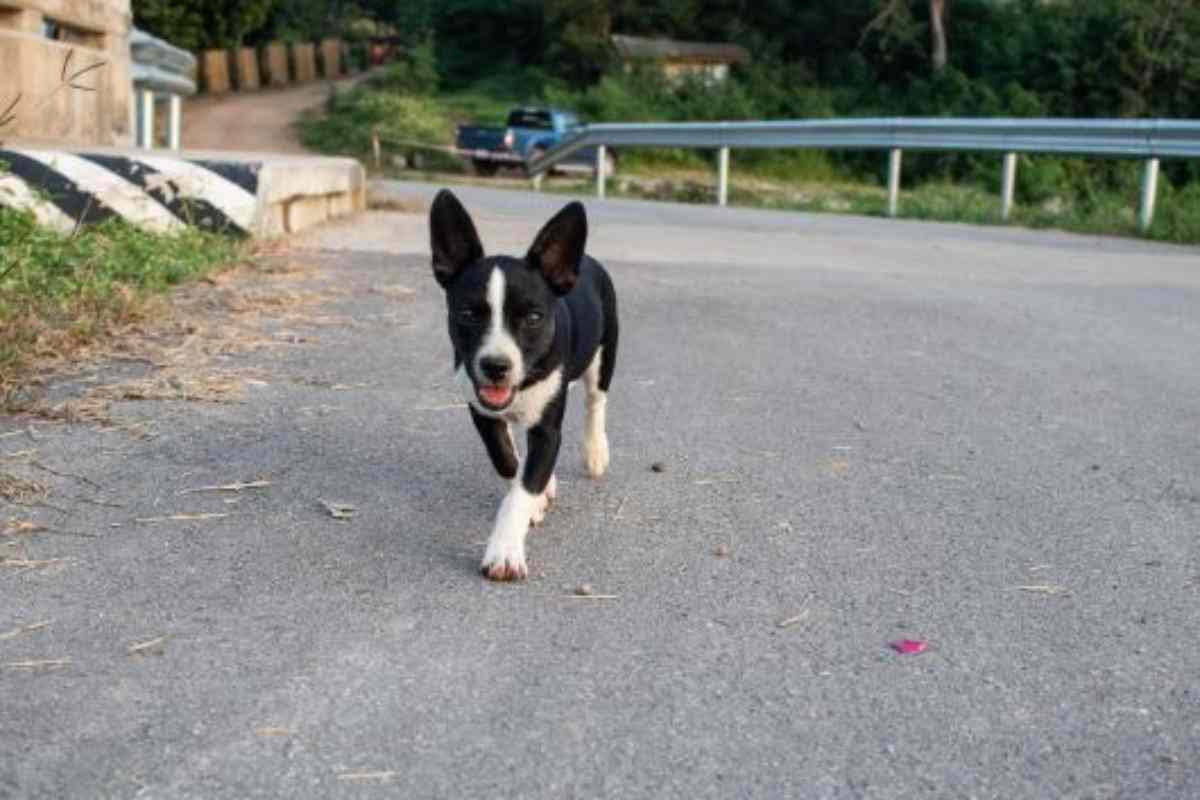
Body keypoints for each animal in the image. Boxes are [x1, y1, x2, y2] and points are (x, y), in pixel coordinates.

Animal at [429, 191, 619, 582]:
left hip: (605, 352)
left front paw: (504, 552)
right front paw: (538, 492)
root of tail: (585, 259)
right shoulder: (481, 408)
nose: (495, 365)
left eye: (533, 317)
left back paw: (595, 451)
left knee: (596, 401)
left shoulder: (547, 430)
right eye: (467, 314)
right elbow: (505, 457)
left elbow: (523, 488)